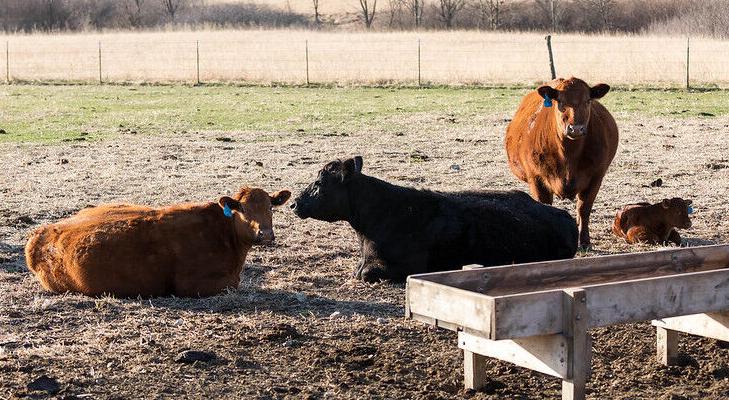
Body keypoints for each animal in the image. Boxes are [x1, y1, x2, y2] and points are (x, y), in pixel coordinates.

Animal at [505, 77, 619, 249]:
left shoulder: (596, 177)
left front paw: (585, 241)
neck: (569, 156)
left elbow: (584, 209)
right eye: (560, 101)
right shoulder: (536, 179)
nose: (576, 129)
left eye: (588, 101)